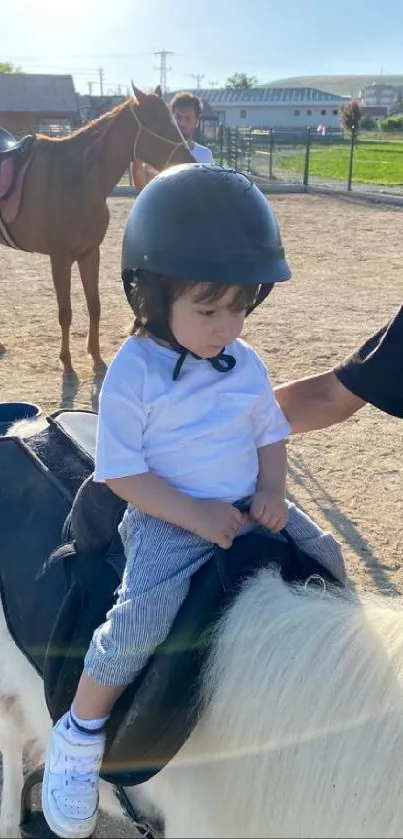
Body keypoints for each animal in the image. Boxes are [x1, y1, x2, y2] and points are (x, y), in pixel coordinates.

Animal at [0, 84, 193, 370]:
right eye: (158, 122)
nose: (187, 159)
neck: (76, 176)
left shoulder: (90, 253)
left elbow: (94, 305)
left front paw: (96, 357)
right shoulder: (60, 258)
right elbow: (65, 311)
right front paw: (67, 362)